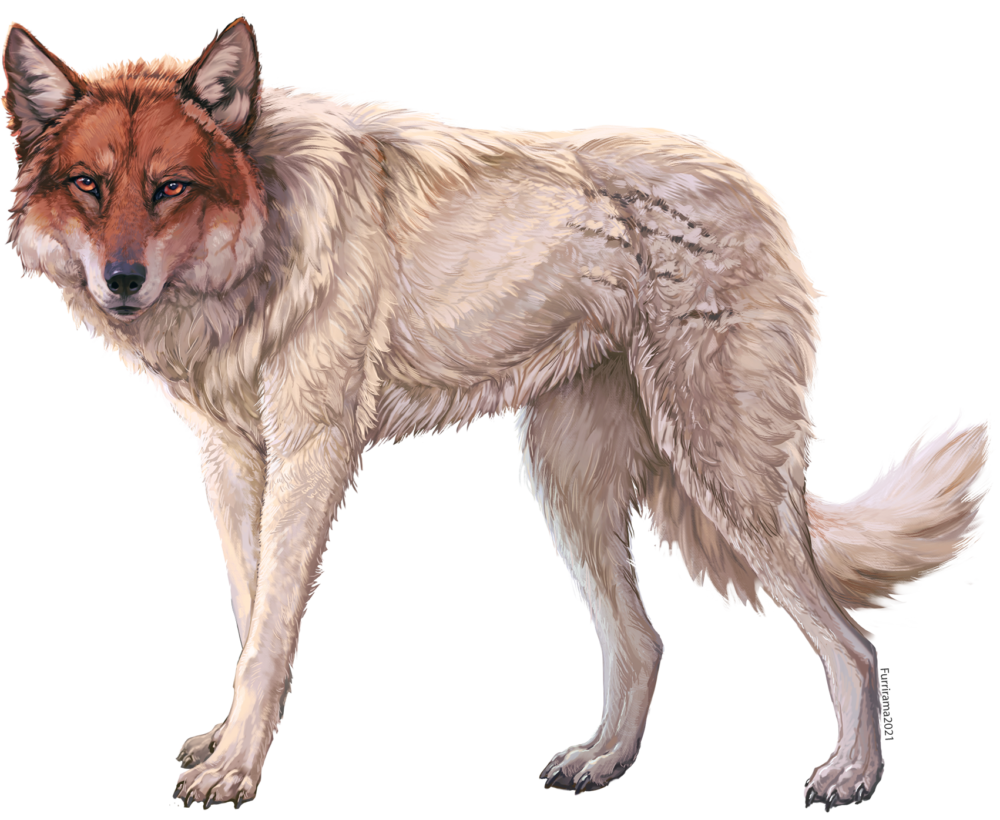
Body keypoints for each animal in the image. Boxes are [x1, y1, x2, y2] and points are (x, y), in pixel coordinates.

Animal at [3, 16, 992, 811]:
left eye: (170, 187)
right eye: (90, 185)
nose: (122, 281)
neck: (264, 240)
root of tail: (755, 189)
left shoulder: (312, 453)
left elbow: (272, 630)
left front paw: (236, 773)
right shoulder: (231, 460)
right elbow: (251, 618)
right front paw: (230, 745)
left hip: (724, 475)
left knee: (850, 644)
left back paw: (851, 776)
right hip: (567, 487)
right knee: (644, 644)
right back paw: (601, 765)